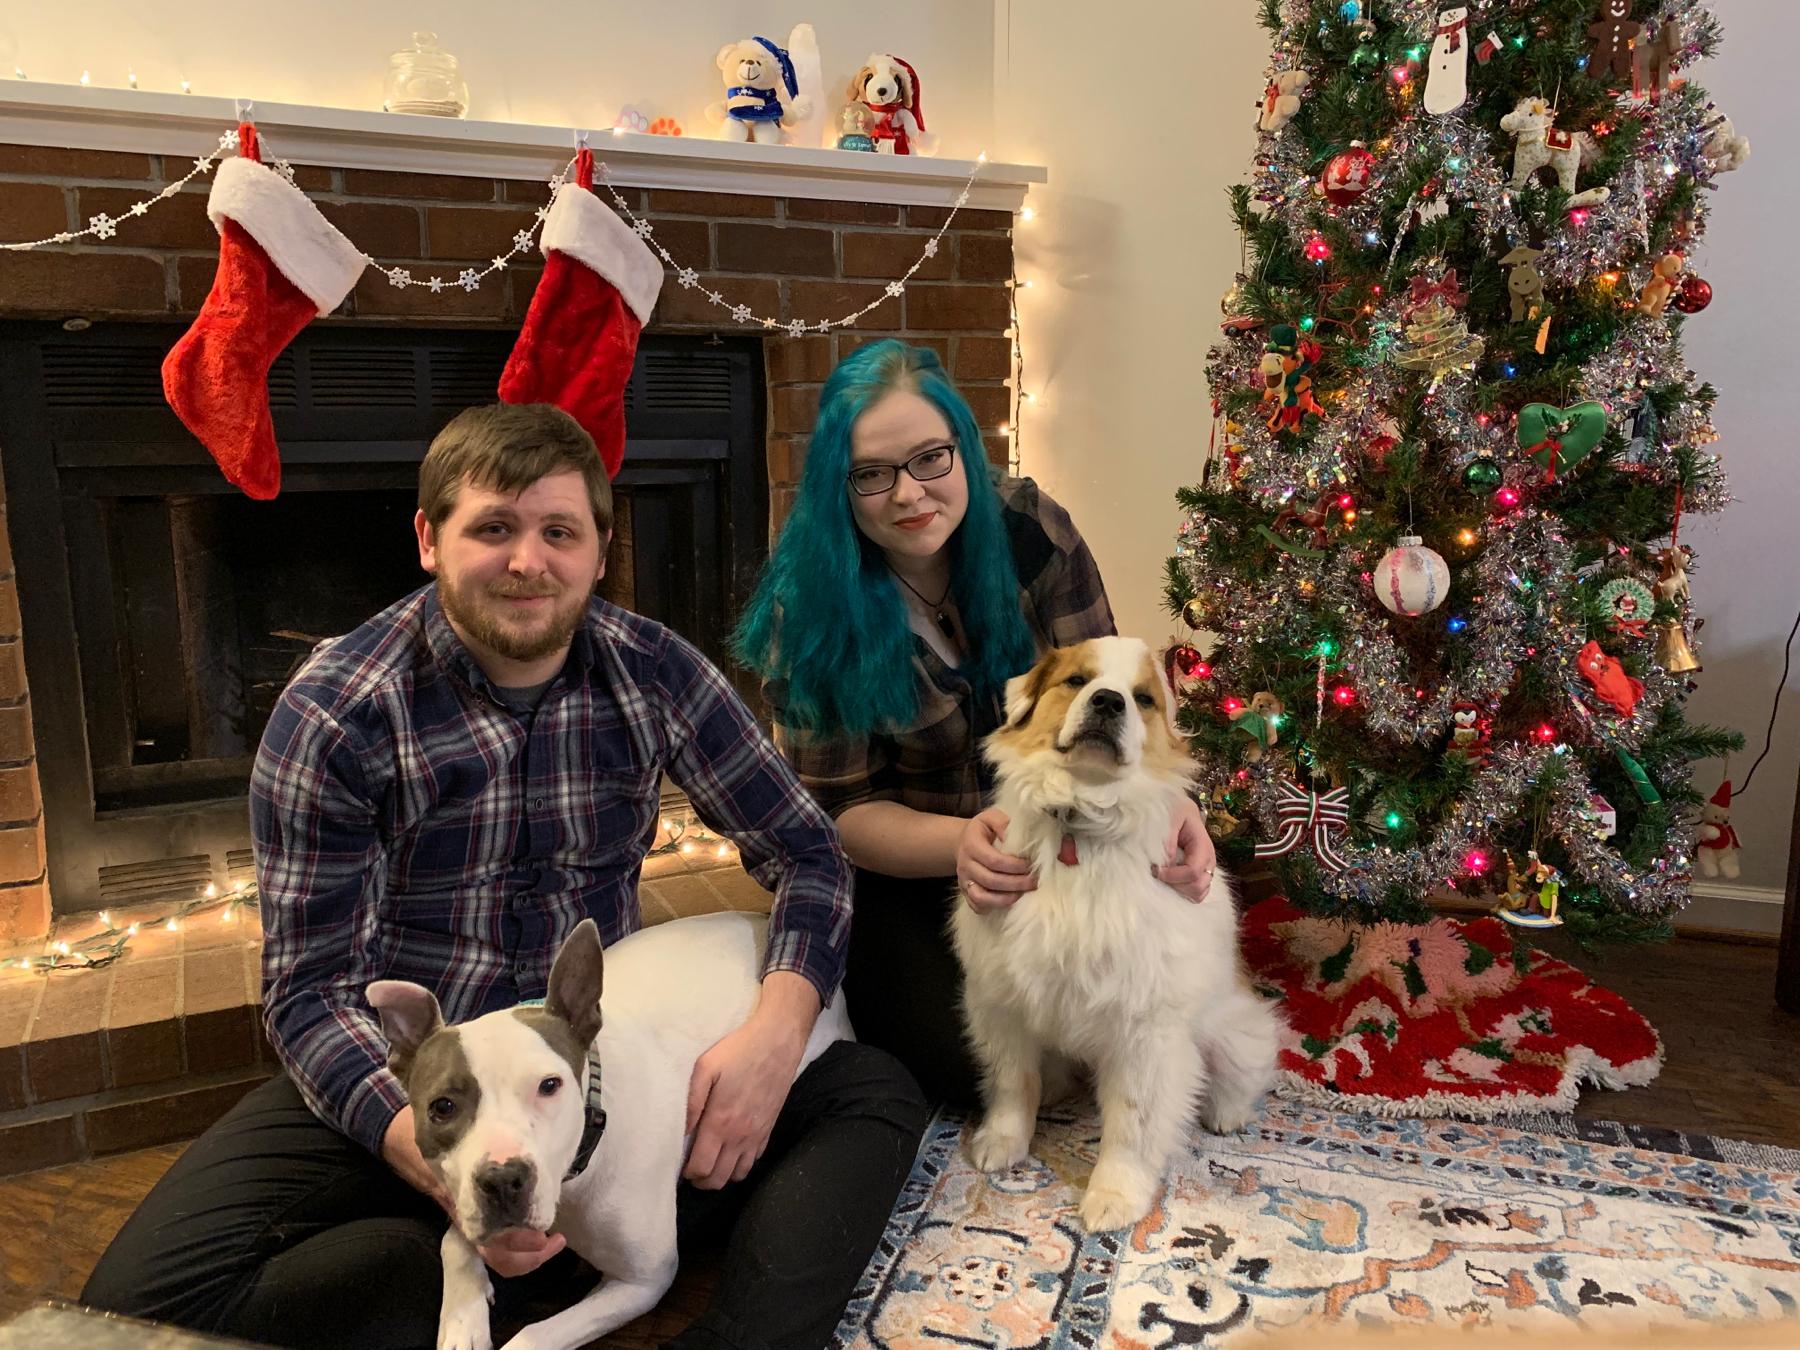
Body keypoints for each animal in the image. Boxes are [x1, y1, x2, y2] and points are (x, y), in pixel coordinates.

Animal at [369, 910, 853, 1350]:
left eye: (550, 1085)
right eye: (442, 1107)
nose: (504, 1180)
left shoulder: (642, 1282)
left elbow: (532, 1336)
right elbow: (454, 1238)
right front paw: (462, 1321)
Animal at [950, 640, 1288, 1231]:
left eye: (1143, 698)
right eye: (1076, 680)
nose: (1108, 701)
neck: (1080, 833)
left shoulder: (1145, 1030)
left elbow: (1131, 1125)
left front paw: (1115, 1195)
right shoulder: (1001, 1001)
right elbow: (1014, 1083)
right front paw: (1004, 1142)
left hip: (1234, 1035)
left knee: (1244, 1069)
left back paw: (1226, 1114)